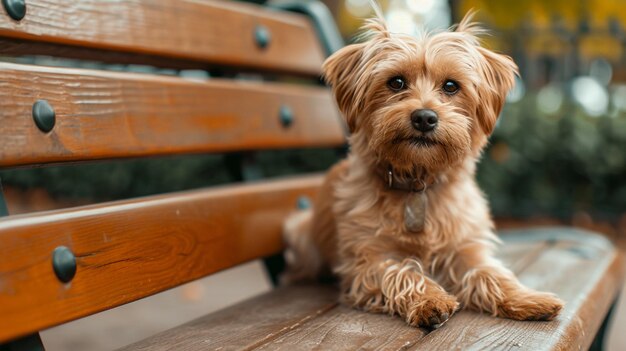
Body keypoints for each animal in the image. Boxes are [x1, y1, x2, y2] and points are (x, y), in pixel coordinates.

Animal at [280, 11, 564, 330]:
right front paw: (431, 299)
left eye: (451, 86)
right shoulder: (368, 260)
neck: (418, 182)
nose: (425, 117)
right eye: (396, 82)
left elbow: (490, 273)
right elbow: (402, 272)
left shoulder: (466, 247)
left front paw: (527, 298)